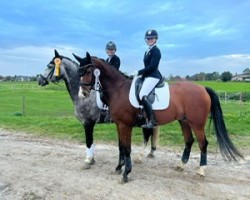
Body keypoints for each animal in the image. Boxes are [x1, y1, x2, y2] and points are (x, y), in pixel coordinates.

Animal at [73, 52, 243, 183]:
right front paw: (118, 168)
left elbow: (127, 149)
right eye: (79, 72)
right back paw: (181, 165)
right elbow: (121, 146)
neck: (118, 89)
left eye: (89, 71)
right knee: (189, 141)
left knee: (203, 144)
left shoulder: (125, 125)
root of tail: (203, 88)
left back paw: (201, 170)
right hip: (184, 121)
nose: (82, 94)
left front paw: (126, 174)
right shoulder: (118, 124)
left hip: (197, 124)